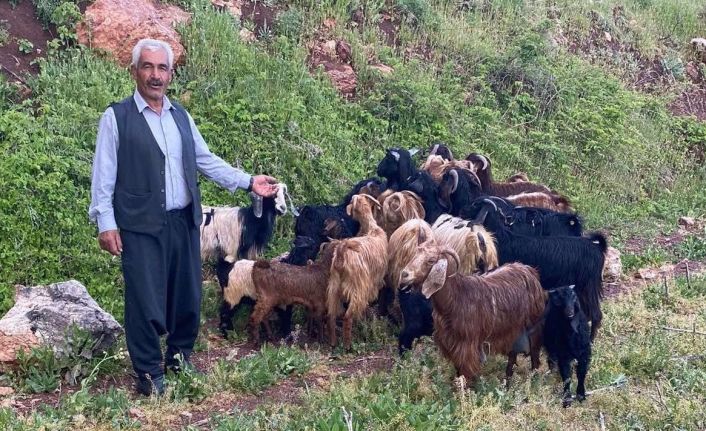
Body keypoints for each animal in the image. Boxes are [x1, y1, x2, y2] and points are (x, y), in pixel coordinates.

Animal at [327, 194, 388, 350]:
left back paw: (333, 343)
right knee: (347, 317)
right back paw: (347, 345)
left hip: (334, 288)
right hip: (357, 289)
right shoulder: (373, 283)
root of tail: (341, 256)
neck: (371, 229)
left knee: (331, 316)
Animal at [399, 245, 546, 381]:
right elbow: (458, 371)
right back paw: (507, 381)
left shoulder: (467, 346)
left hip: (534, 325)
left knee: (534, 354)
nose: (404, 274)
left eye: (431, 260)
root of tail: (529, 270)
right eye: (415, 254)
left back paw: (533, 380)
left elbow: (465, 374)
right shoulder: (453, 344)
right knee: (513, 354)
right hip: (513, 329)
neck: (456, 298)